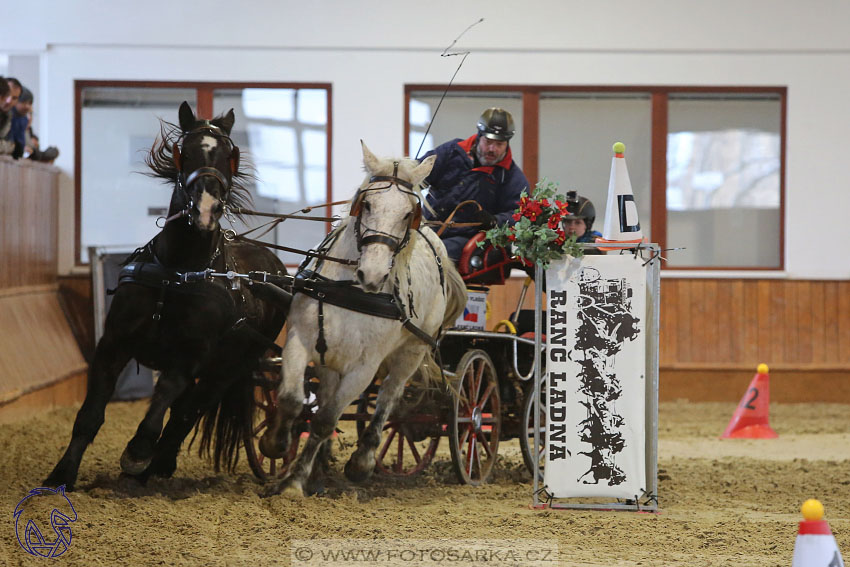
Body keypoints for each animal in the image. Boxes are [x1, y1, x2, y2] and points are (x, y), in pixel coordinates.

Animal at [45, 103, 288, 492]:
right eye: (183, 152)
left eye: (228, 155)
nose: (205, 209)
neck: (178, 273)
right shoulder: (113, 343)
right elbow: (89, 416)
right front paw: (62, 475)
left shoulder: (190, 357)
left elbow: (163, 402)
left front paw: (137, 452)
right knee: (185, 409)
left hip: (230, 367)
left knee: (190, 410)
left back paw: (154, 464)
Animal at [262, 142, 468, 496]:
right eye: (367, 203)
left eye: (407, 214)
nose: (372, 274)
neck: (350, 291)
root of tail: (437, 243)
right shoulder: (299, 341)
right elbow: (290, 400)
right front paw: (275, 444)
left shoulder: (363, 368)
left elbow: (325, 420)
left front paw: (294, 481)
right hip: (330, 359)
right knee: (327, 395)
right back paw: (320, 468)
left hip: (411, 352)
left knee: (389, 396)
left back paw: (362, 461)